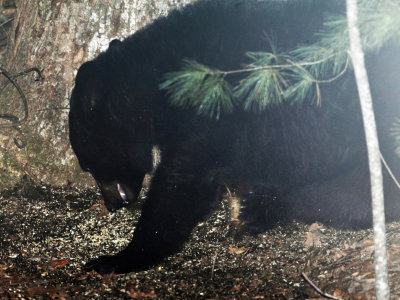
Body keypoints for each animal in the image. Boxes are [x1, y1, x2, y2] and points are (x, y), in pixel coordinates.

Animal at [69, 0, 400, 274]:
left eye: (87, 164)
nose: (111, 204)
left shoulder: (213, 115)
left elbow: (183, 183)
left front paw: (119, 258)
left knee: (351, 194)